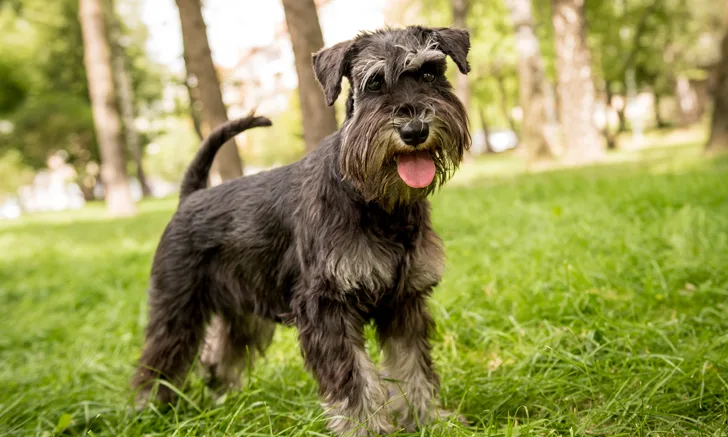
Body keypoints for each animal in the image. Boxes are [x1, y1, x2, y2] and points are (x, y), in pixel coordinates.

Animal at [133, 24, 470, 436]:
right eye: (374, 83)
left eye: (429, 73)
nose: (414, 129)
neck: (377, 202)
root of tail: (189, 197)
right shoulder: (325, 305)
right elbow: (355, 379)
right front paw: (366, 427)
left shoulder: (404, 301)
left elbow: (412, 366)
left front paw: (428, 419)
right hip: (177, 306)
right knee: (160, 358)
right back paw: (150, 410)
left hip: (242, 311)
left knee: (219, 354)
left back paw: (222, 399)